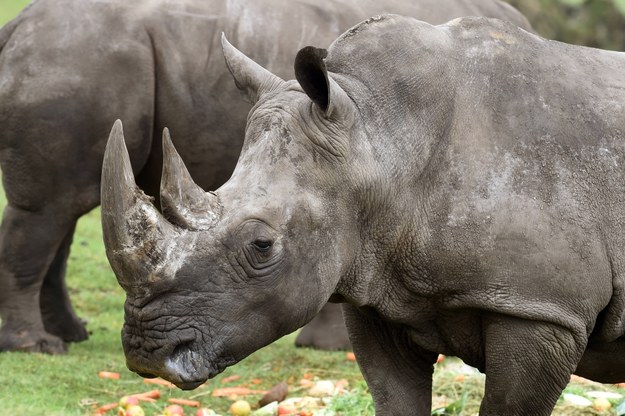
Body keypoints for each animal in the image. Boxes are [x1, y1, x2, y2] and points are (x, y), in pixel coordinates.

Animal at [0, 0, 528, 354]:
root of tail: (15, 27)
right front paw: (330, 348)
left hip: (76, 60)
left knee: (64, 208)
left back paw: (70, 336)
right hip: (77, 62)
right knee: (50, 208)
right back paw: (37, 347)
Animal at [102, 11, 625, 416]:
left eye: (261, 246)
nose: (149, 354)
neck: (380, 137)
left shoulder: (543, 309)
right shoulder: (379, 285)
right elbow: (395, 399)